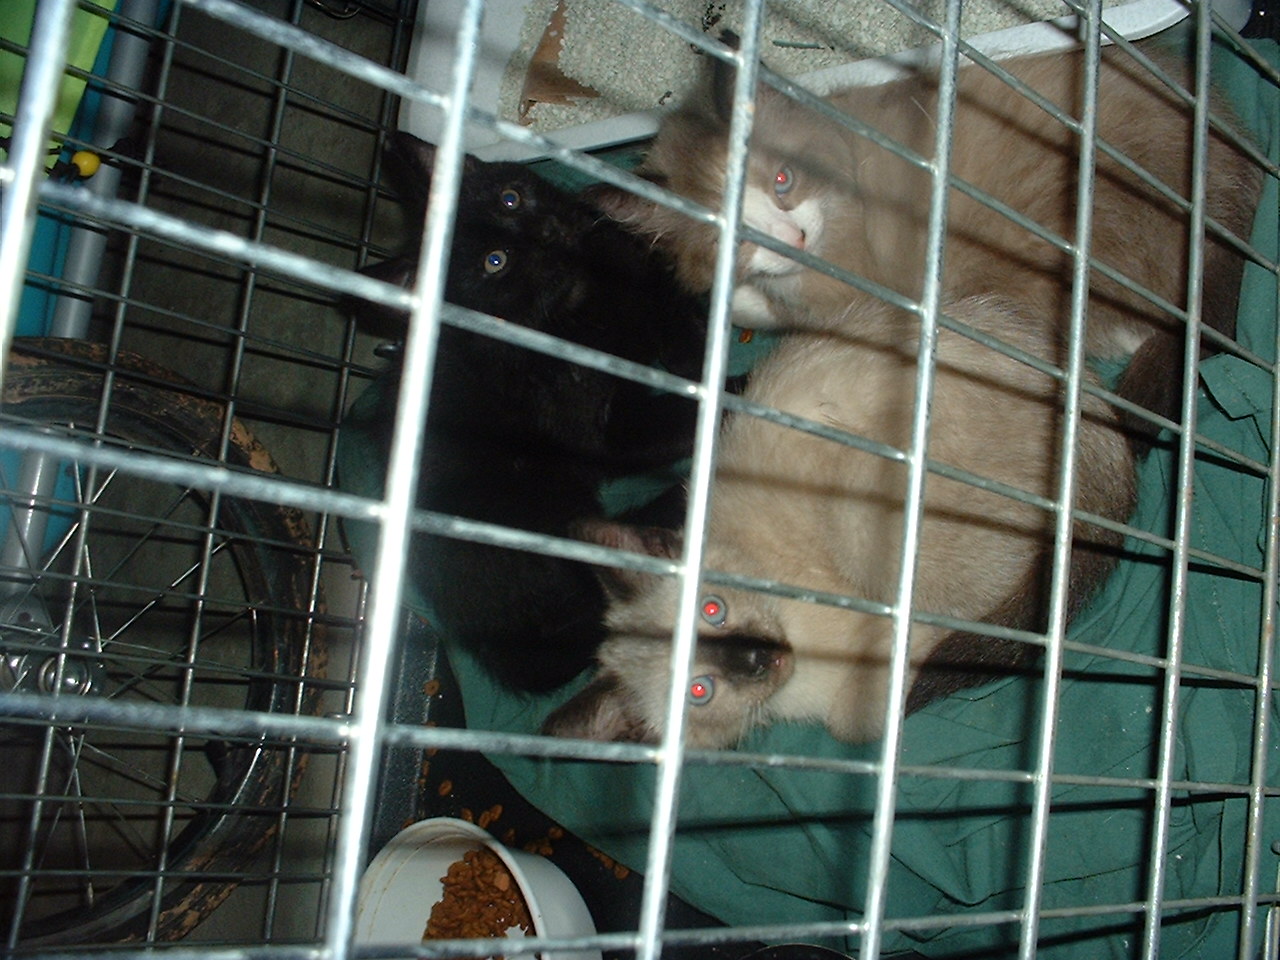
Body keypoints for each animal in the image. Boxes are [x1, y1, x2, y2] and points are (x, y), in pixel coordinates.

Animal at [351, 132, 714, 692]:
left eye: (510, 199)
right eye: (495, 262)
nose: (544, 234)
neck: (578, 305)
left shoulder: (622, 261)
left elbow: (659, 292)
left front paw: (691, 345)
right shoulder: (604, 431)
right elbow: (674, 420)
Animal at [593, 39, 1263, 449]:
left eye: (781, 180)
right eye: (733, 236)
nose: (795, 237)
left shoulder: (848, 292)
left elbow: (771, 307)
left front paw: (738, 302)